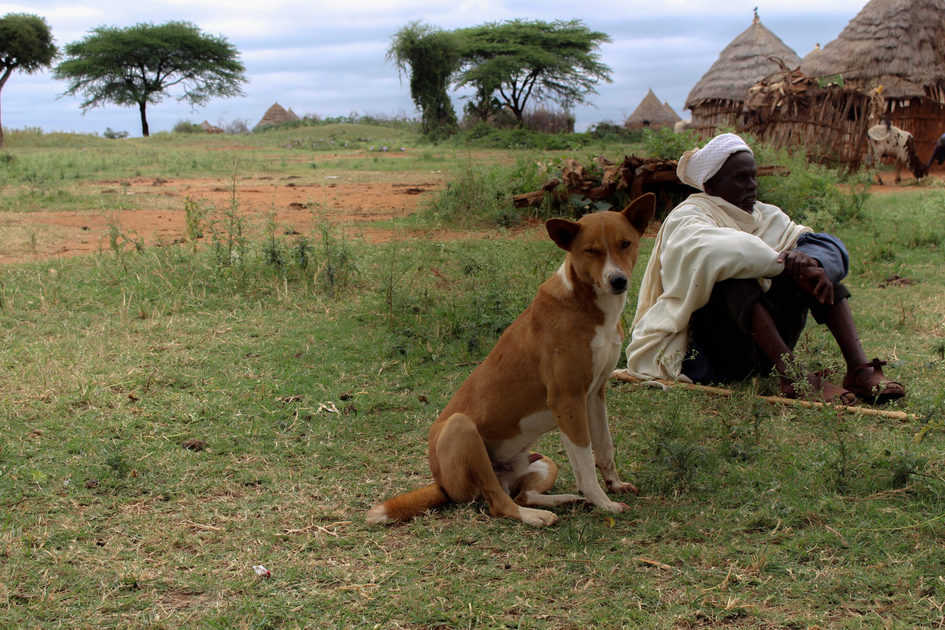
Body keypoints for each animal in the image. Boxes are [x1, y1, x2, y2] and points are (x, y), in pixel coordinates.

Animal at [366, 194, 652, 528]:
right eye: (591, 251)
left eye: (625, 243)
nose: (618, 280)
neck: (589, 306)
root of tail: (440, 484)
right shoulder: (567, 400)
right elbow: (584, 463)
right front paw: (604, 503)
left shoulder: (595, 394)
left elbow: (604, 447)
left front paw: (614, 485)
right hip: (462, 428)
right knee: (499, 503)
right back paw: (537, 516)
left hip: (541, 462)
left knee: (521, 494)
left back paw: (565, 500)